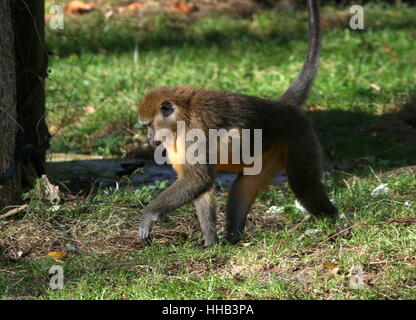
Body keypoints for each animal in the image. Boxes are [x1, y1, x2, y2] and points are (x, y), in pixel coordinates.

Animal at [137, 0, 338, 246]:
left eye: (148, 125)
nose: (149, 137)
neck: (182, 117)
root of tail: (282, 107)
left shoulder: (193, 133)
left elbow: (198, 179)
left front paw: (149, 214)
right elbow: (202, 184)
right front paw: (210, 241)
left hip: (300, 138)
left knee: (304, 186)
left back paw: (334, 220)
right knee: (245, 185)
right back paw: (233, 236)